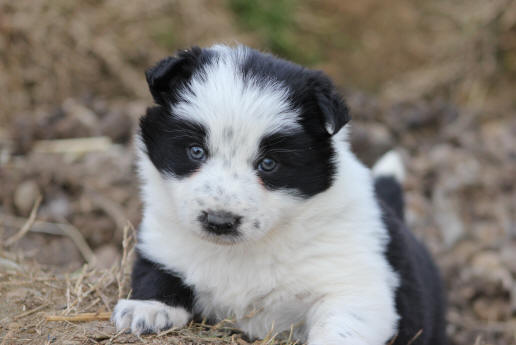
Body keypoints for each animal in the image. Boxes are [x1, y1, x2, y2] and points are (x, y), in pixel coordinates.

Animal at [113, 45, 448, 344]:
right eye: (195, 151)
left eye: (268, 164)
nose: (219, 222)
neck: (240, 251)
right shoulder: (161, 242)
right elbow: (157, 274)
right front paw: (146, 309)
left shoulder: (354, 285)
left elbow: (342, 325)